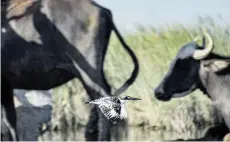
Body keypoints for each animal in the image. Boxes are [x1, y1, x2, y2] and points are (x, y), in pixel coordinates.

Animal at [1, 0, 138, 140]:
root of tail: (102, 9)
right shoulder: (6, 87)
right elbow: (10, 121)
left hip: (88, 71)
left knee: (103, 94)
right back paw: (91, 129)